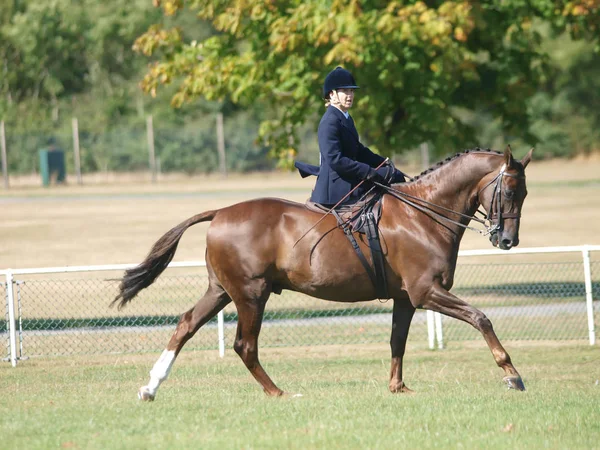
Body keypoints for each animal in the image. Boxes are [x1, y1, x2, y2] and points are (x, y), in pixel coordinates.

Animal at [113, 145, 536, 400]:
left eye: (525, 194)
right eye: (509, 192)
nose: (507, 240)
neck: (422, 214)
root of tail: (220, 212)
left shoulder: (405, 298)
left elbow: (397, 341)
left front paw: (397, 387)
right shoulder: (426, 292)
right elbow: (481, 318)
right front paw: (512, 374)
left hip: (221, 290)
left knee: (185, 325)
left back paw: (151, 387)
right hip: (251, 294)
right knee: (244, 345)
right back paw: (277, 393)